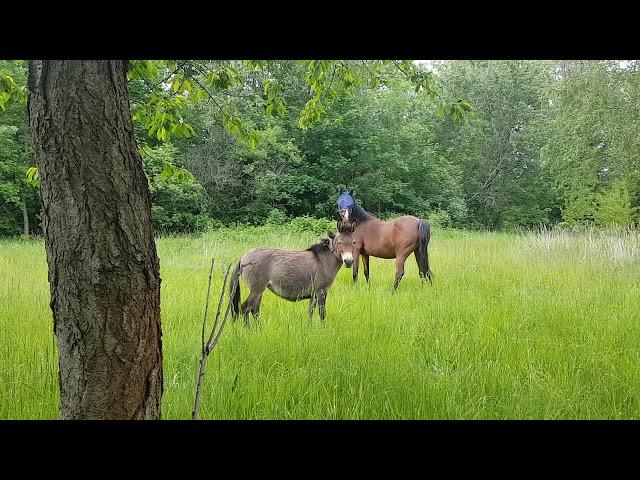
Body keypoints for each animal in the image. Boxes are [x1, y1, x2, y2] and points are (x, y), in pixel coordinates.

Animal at [230, 230, 358, 326]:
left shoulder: (314, 294)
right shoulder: (321, 291)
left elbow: (310, 312)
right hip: (257, 290)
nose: (349, 261)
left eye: (354, 242)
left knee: (254, 310)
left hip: (259, 291)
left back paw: (259, 329)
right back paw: (248, 331)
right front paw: (323, 329)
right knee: (245, 309)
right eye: (339, 243)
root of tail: (243, 257)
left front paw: (309, 328)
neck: (323, 261)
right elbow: (322, 313)